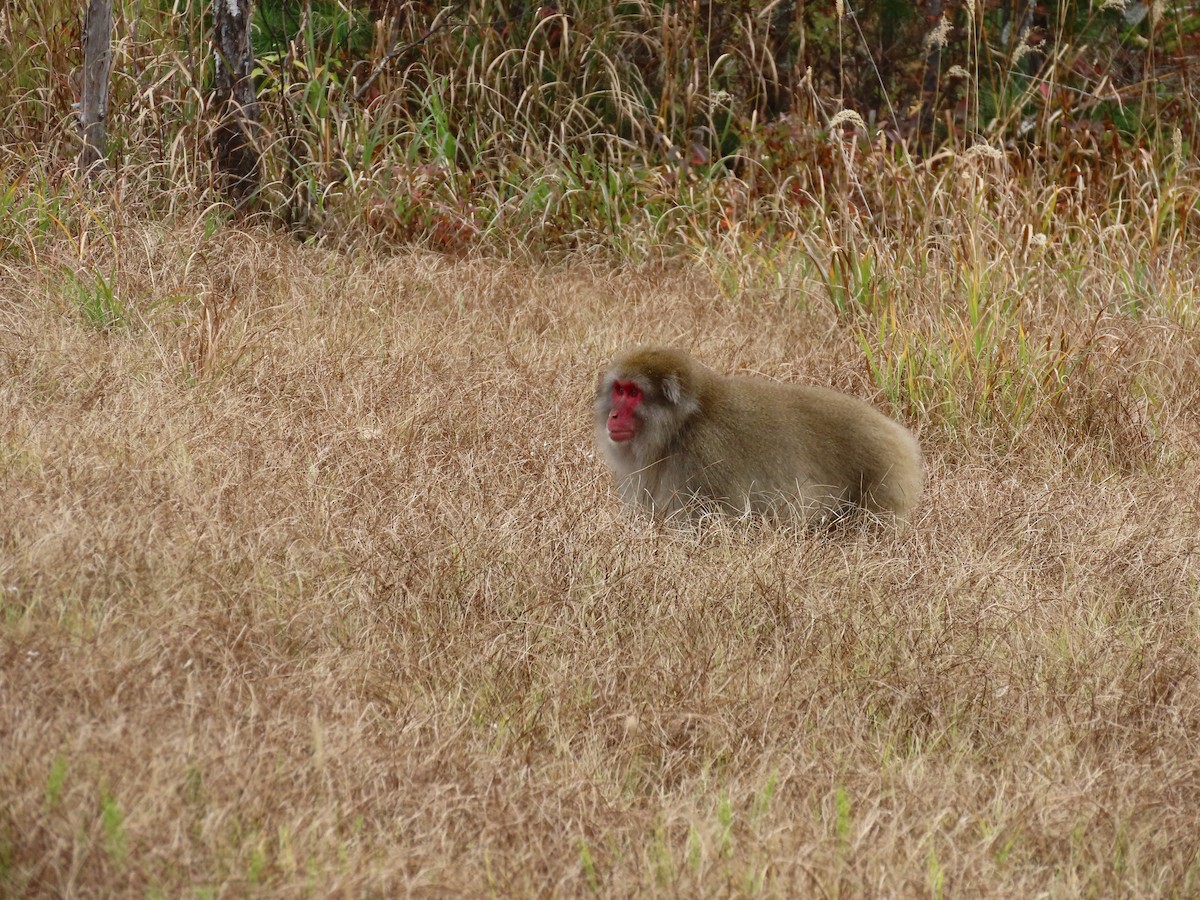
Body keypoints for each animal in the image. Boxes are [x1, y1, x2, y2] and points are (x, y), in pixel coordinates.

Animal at [594, 346, 923, 526]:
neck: (683, 425)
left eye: (633, 393)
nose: (613, 416)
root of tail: (897, 432)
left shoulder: (705, 459)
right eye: (619, 389)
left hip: (884, 480)